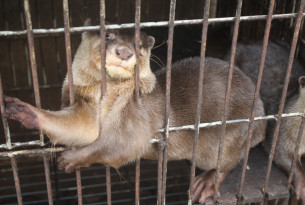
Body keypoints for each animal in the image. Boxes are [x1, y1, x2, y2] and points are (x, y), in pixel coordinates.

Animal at [2, 24, 264, 203]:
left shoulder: (136, 113)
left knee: (228, 162)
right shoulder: (85, 102)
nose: (124, 51)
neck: (109, 95)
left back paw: (206, 182)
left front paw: (72, 159)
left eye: (139, 45)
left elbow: (122, 144)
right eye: (107, 36)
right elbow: (83, 129)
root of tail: (262, 118)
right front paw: (23, 111)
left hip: (232, 135)